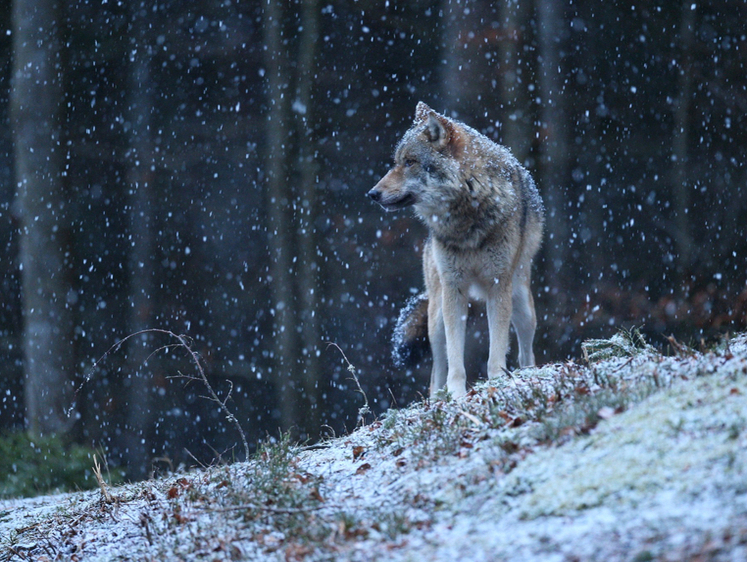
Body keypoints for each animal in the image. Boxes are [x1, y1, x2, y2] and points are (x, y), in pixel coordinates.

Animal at [366, 100, 544, 398]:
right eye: (396, 162)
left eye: (410, 162)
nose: (372, 194)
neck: (466, 219)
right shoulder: (454, 288)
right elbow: (455, 358)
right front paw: (458, 396)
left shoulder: (498, 286)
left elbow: (496, 351)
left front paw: (497, 383)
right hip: (436, 315)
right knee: (436, 370)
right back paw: (439, 398)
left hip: (522, 305)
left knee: (525, 352)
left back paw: (527, 375)